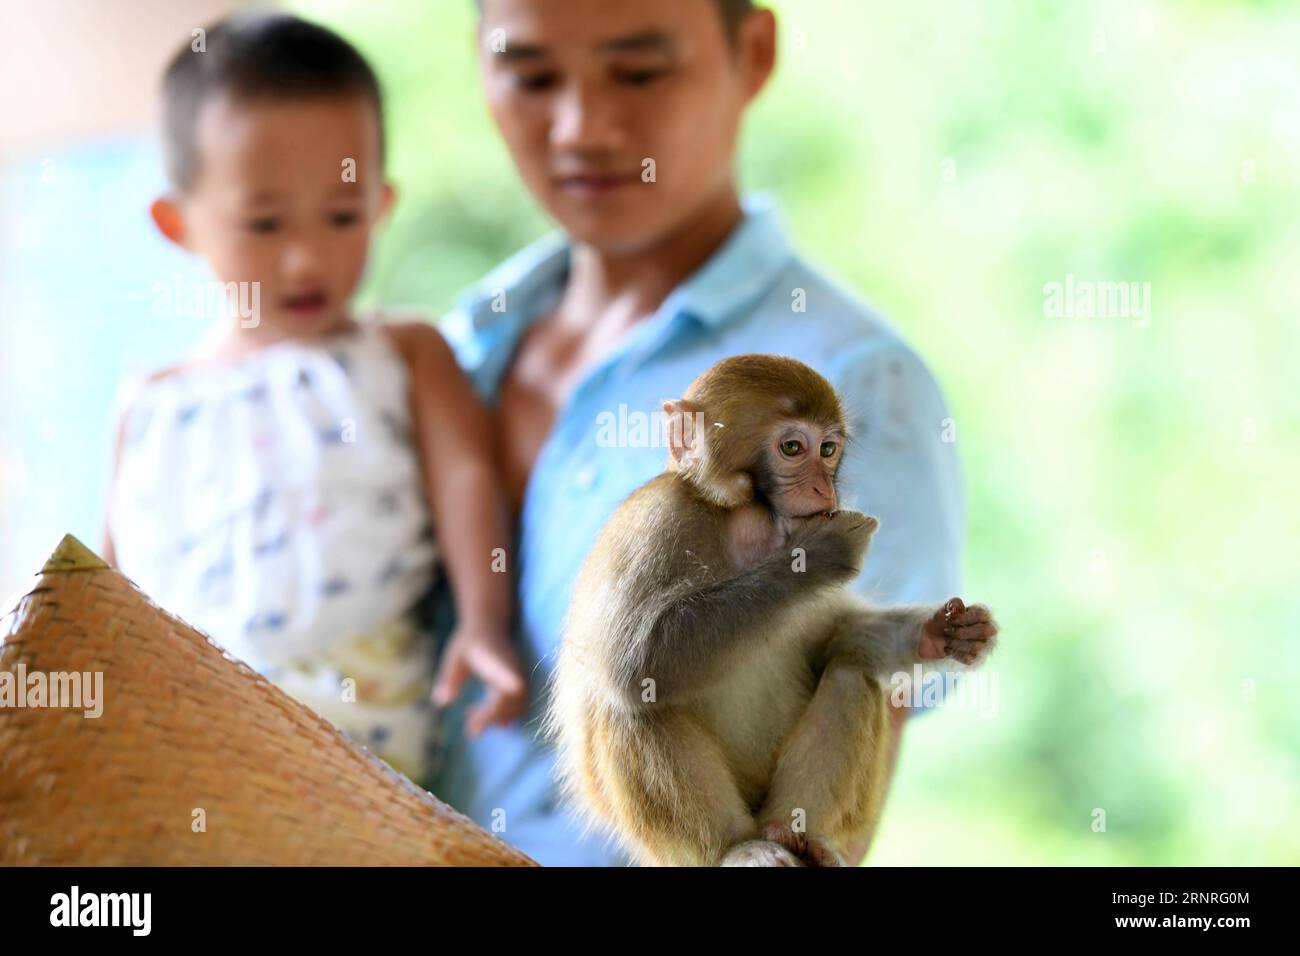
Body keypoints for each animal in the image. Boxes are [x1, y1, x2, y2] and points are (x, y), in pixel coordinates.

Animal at [543, 353, 998, 868]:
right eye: (793, 447)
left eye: (827, 450)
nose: (823, 490)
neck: (750, 525)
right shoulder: (656, 523)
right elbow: (632, 659)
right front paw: (819, 556)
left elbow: (834, 640)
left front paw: (942, 634)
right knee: (634, 701)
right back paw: (737, 848)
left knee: (851, 674)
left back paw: (806, 839)